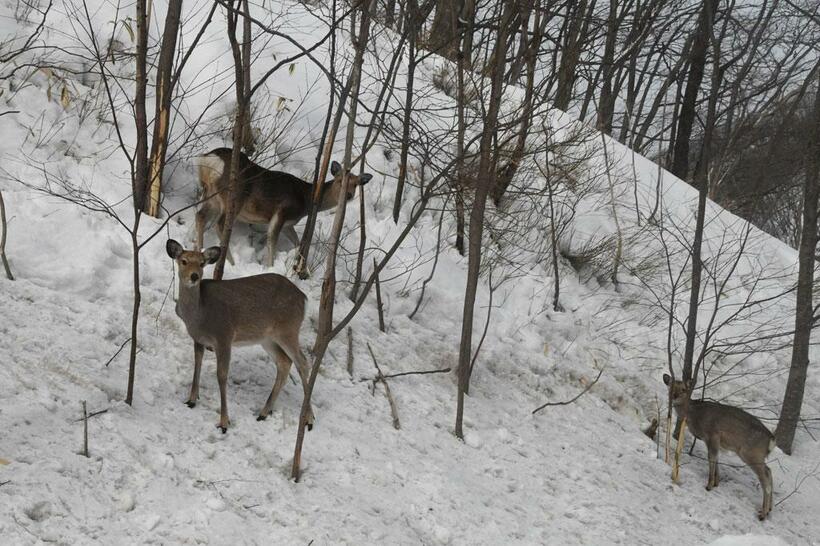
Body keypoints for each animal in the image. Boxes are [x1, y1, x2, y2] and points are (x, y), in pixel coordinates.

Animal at [165, 238, 312, 434]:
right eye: (184, 261)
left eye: (202, 263)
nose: (194, 276)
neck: (199, 315)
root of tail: (303, 298)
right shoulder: (198, 338)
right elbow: (197, 364)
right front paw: (191, 400)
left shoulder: (224, 336)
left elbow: (221, 375)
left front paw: (224, 422)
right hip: (267, 338)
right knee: (285, 362)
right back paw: (264, 412)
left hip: (289, 328)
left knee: (302, 362)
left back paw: (308, 419)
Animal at [194, 147, 374, 266]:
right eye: (339, 181)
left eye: (356, 184)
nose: (349, 195)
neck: (306, 200)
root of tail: (209, 159)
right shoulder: (282, 212)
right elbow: (272, 240)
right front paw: (271, 267)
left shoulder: (289, 224)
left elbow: (297, 242)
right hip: (233, 197)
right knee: (220, 224)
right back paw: (231, 263)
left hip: (211, 196)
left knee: (200, 216)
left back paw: (199, 251)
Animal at [664, 374, 772, 520]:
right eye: (671, 386)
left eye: (683, 389)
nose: (674, 396)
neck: (694, 415)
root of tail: (771, 440)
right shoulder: (711, 440)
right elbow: (716, 459)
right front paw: (716, 482)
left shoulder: (712, 435)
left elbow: (712, 458)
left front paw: (709, 485)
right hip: (756, 455)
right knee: (769, 471)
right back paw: (770, 509)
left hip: (751, 453)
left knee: (765, 477)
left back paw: (763, 513)